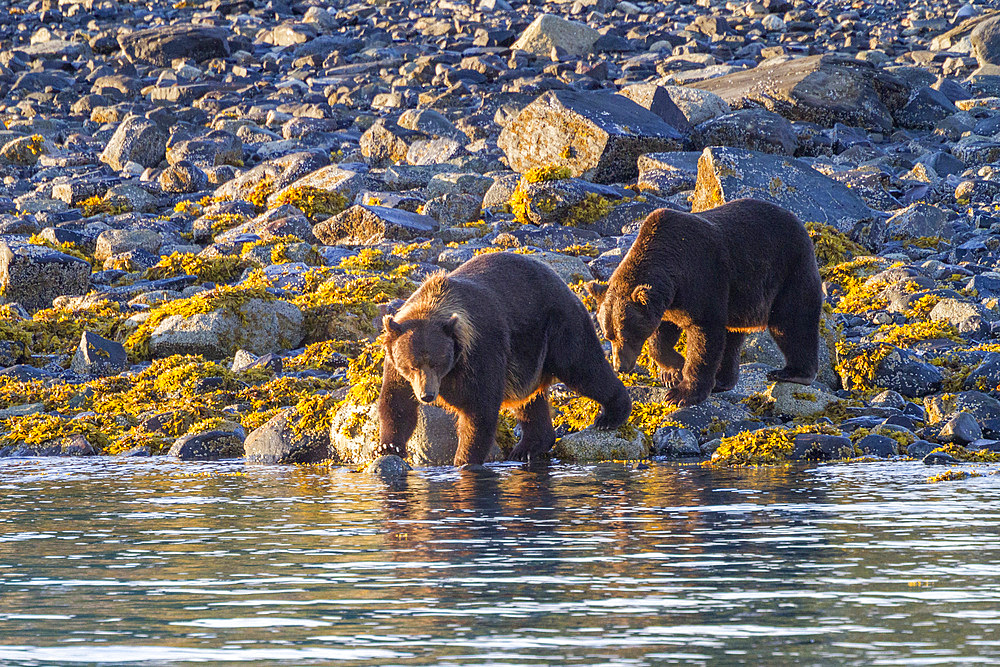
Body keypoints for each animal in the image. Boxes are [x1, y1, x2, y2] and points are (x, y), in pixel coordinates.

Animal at [380, 253, 632, 468]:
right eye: (412, 366)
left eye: (437, 362)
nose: (427, 395)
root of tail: (561, 281)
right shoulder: (396, 364)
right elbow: (396, 402)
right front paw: (389, 446)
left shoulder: (482, 351)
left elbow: (479, 408)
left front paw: (464, 459)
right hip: (527, 361)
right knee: (530, 402)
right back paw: (528, 447)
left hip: (558, 326)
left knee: (583, 368)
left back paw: (611, 415)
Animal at [584, 198, 820, 408]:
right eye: (608, 336)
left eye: (627, 334)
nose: (620, 367)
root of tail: (796, 220)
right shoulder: (669, 305)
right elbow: (661, 337)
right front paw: (672, 372)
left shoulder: (702, 280)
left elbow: (704, 337)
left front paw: (681, 393)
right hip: (739, 300)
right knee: (733, 335)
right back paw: (722, 380)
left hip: (790, 269)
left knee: (792, 322)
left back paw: (792, 372)